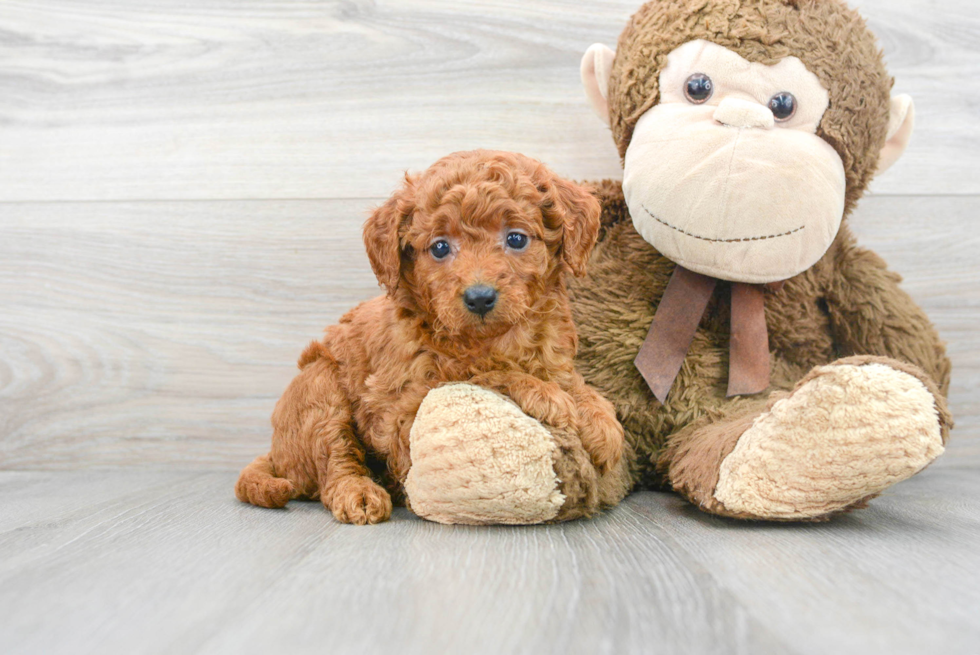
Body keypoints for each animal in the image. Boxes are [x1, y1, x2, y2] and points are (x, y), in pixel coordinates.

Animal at [234, 151, 624, 524]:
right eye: (439, 247)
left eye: (516, 238)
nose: (479, 297)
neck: (491, 340)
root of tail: (276, 455)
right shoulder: (404, 405)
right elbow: (479, 373)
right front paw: (545, 395)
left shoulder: (554, 358)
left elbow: (574, 384)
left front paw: (600, 421)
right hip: (319, 389)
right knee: (335, 460)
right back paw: (359, 493)